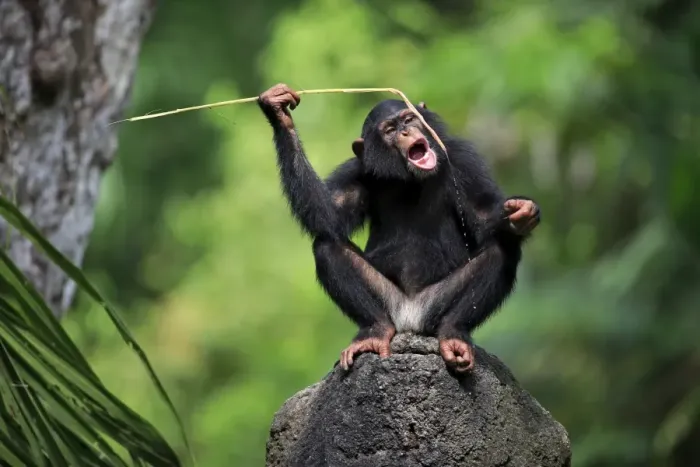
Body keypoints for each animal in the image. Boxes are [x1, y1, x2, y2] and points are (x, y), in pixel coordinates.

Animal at [258, 84, 540, 373]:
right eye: (390, 129)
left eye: (408, 119)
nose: (405, 132)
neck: (409, 178)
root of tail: (410, 322)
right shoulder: (356, 170)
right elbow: (330, 216)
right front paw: (278, 112)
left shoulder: (464, 160)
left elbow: (482, 214)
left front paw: (522, 213)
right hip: (390, 303)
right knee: (326, 246)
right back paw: (375, 332)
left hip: (434, 307)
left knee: (502, 250)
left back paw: (453, 334)